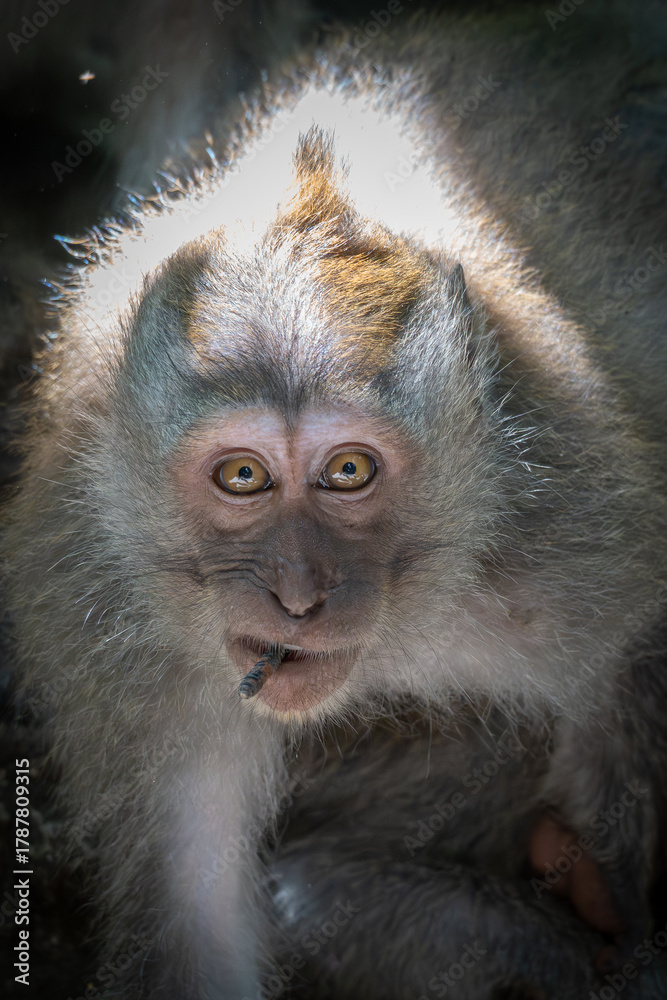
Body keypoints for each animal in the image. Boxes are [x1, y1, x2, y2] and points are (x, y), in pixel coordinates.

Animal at [4, 1, 667, 997]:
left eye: (348, 471)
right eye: (242, 476)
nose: (298, 596)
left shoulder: (570, 528)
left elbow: (631, 654)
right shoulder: (105, 616)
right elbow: (191, 928)